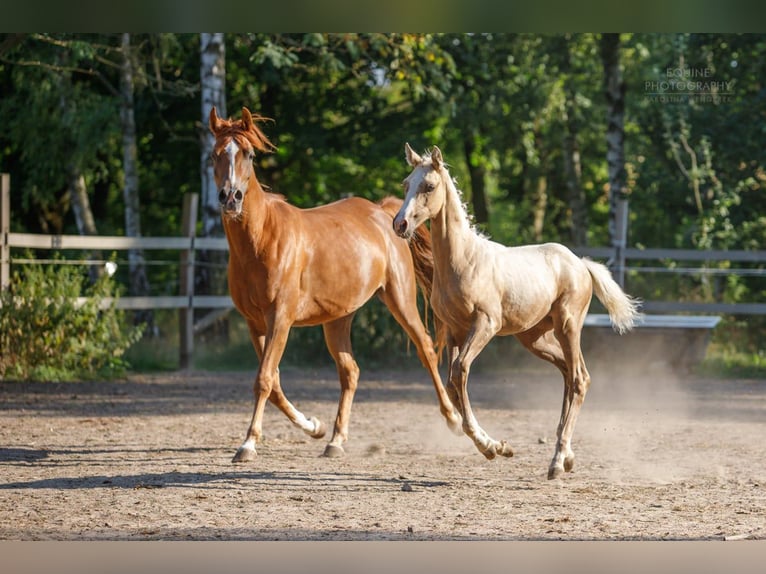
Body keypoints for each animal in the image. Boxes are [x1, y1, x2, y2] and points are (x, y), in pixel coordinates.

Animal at [208, 107, 462, 462]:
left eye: (249, 154)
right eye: (214, 154)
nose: (231, 197)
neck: (260, 241)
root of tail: (382, 212)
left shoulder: (280, 319)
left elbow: (264, 379)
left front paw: (247, 445)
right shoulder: (254, 323)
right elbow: (274, 383)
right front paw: (314, 426)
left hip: (399, 299)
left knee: (425, 349)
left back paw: (453, 419)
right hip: (337, 319)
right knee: (350, 371)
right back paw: (336, 440)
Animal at [392, 143, 642, 479]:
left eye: (429, 186)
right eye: (406, 184)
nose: (400, 225)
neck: (464, 261)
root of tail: (580, 263)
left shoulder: (485, 325)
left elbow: (460, 371)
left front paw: (491, 447)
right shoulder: (456, 331)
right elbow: (452, 382)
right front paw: (499, 446)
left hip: (567, 326)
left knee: (578, 379)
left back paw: (557, 461)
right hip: (534, 338)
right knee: (571, 374)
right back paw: (566, 455)